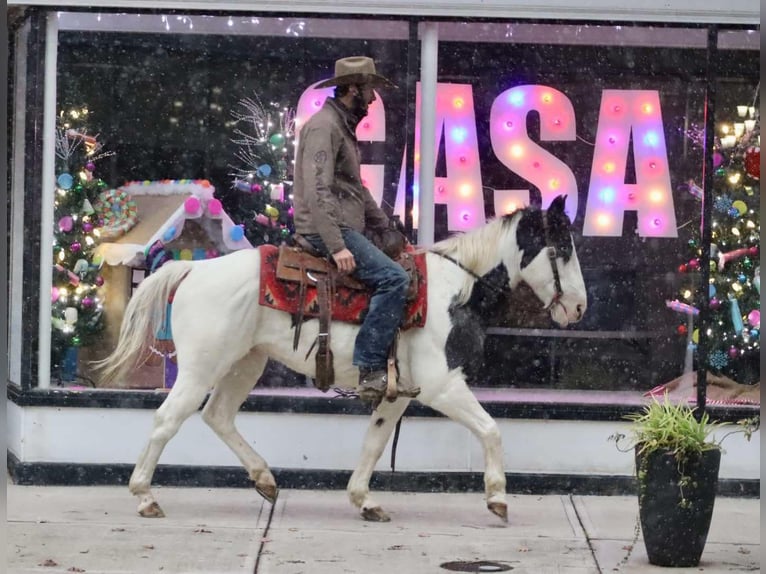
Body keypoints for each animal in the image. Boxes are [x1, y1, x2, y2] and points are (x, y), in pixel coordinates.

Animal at [96, 195, 588, 528]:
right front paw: (498, 498)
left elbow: (374, 442)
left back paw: (265, 478)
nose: (580, 308)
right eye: (562, 250)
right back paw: (144, 497)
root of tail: (194, 269)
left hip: (244, 364)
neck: (456, 287)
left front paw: (364, 501)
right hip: (202, 367)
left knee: (218, 415)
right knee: (167, 419)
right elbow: (490, 429)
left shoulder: (397, 393)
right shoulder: (442, 385)